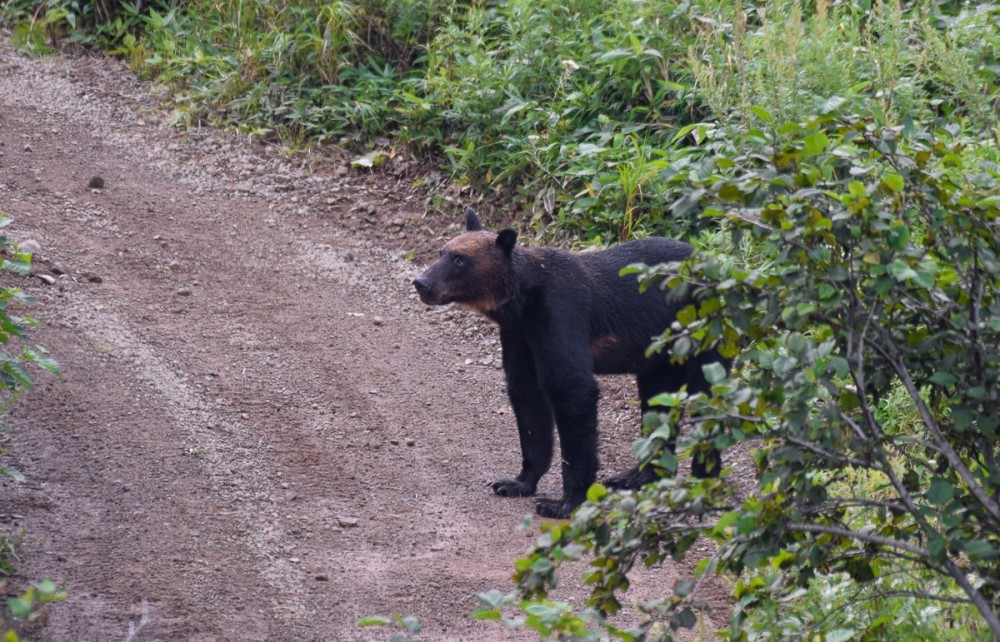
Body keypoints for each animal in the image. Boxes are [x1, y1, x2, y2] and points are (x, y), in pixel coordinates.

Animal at [410, 208, 724, 516]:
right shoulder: (519, 336)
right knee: (657, 400)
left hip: (705, 330)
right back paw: (635, 476)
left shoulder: (559, 316)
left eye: (460, 260)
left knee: (707, 399)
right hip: (660, 353)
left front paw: (563, 501)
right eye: (442, 252)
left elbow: (573, 390)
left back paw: (702, 480)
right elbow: (527, 398)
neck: (523, 302)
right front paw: (515, 482)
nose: (421, 282)